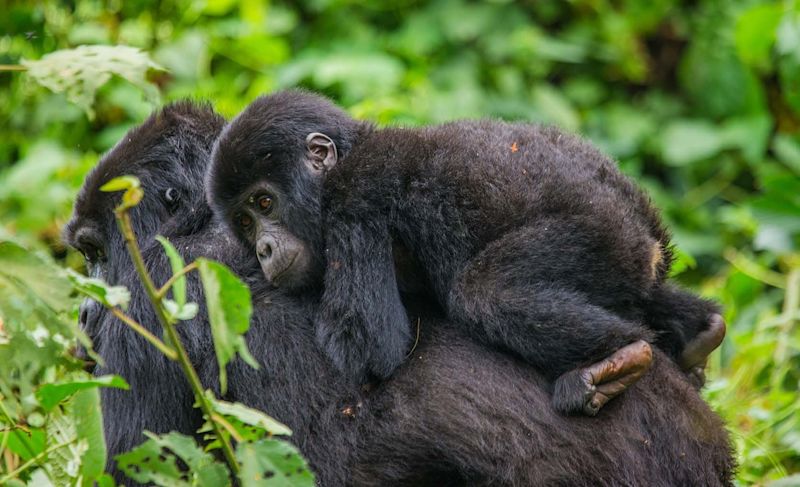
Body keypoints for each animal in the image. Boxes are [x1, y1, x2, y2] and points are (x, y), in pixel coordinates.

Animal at [206, 90, 724, 416]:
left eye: (265, 203)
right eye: (245, 224)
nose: (264, 248)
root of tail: (648, 233)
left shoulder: (357, 192)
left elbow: (370, 349)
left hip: (606, 238)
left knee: (485, 294)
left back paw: (622, 356)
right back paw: (699, 332)